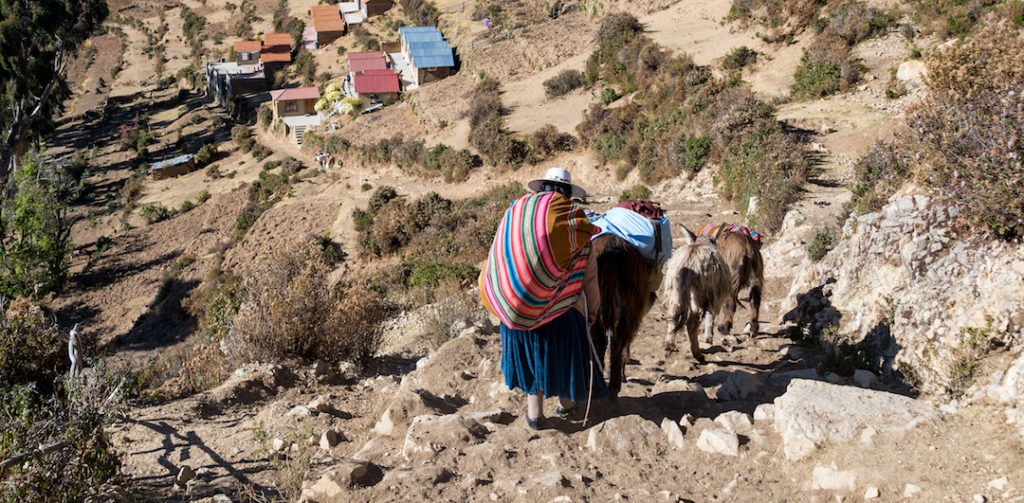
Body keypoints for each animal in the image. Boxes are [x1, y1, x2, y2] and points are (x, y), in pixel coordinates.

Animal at [662, 224, 733, 363]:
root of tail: (689, 260)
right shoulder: (714, 298)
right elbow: (710, 317)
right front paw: (708, 338)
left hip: (675, 291)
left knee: (673, 316)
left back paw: (669, 346)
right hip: (699, 296)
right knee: (691, 323)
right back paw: (698, 354)